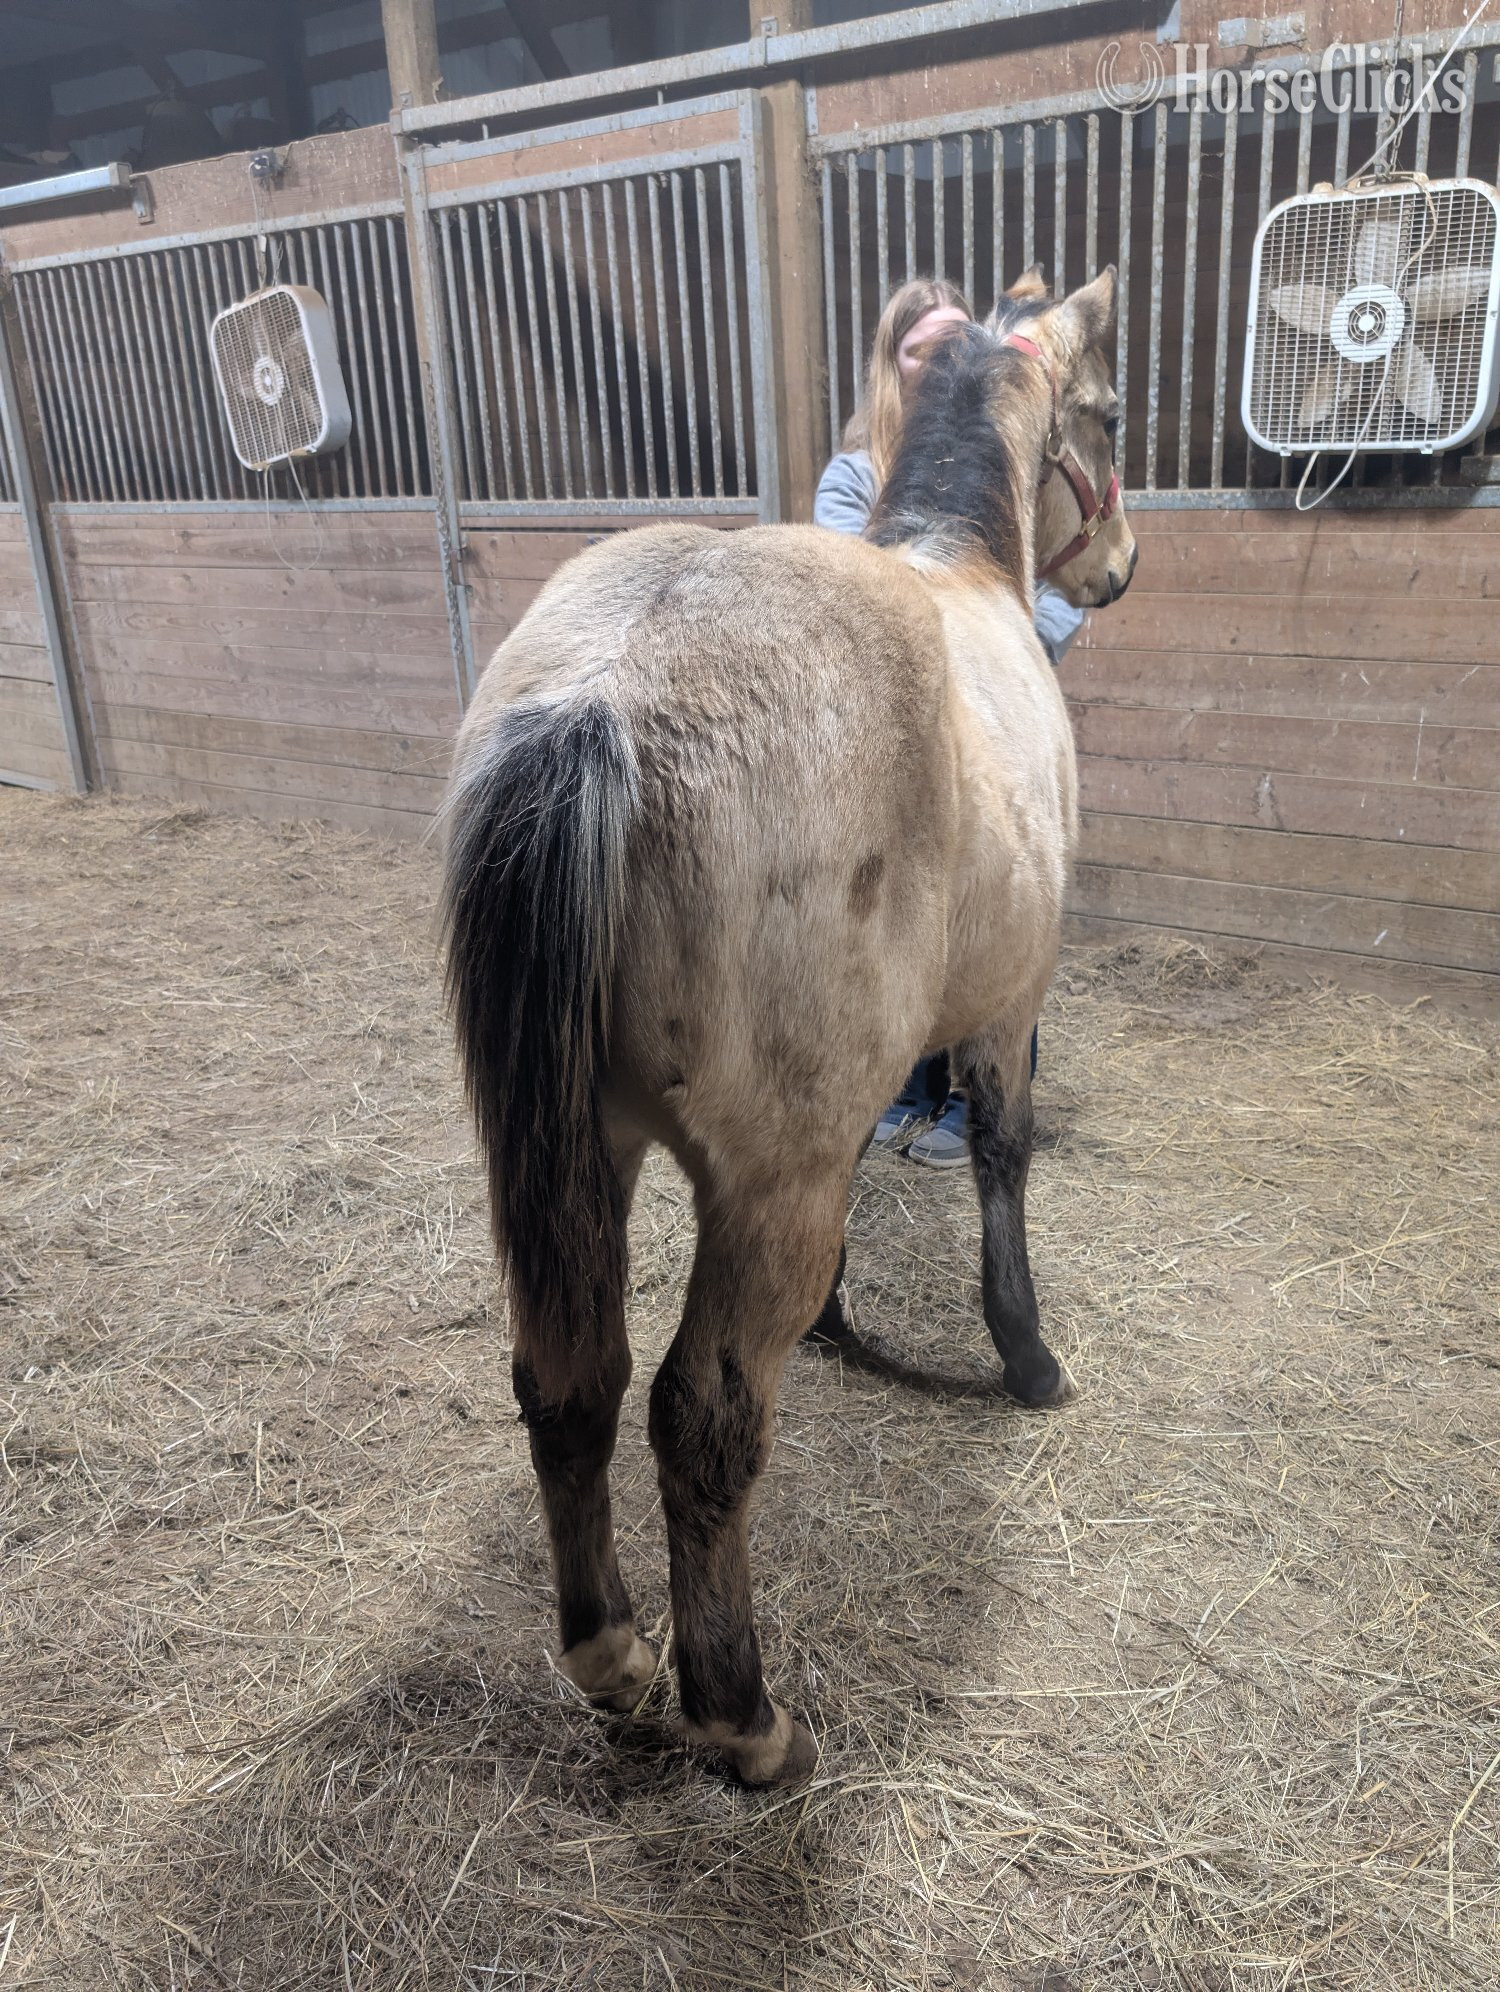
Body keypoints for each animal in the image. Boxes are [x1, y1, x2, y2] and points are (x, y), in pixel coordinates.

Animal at [441, 268, 1136, 1786]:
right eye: (1109, 411)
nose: (1116, 569)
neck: (960, 569)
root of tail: (607, 693)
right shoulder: (1011, 1006)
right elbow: (1002, 1160)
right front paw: (1027, 1357)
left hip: (578, 1151)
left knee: (571, 1379)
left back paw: (612, 1657)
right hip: (766, 1181)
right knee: (700, 1417)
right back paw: (745, 1720)